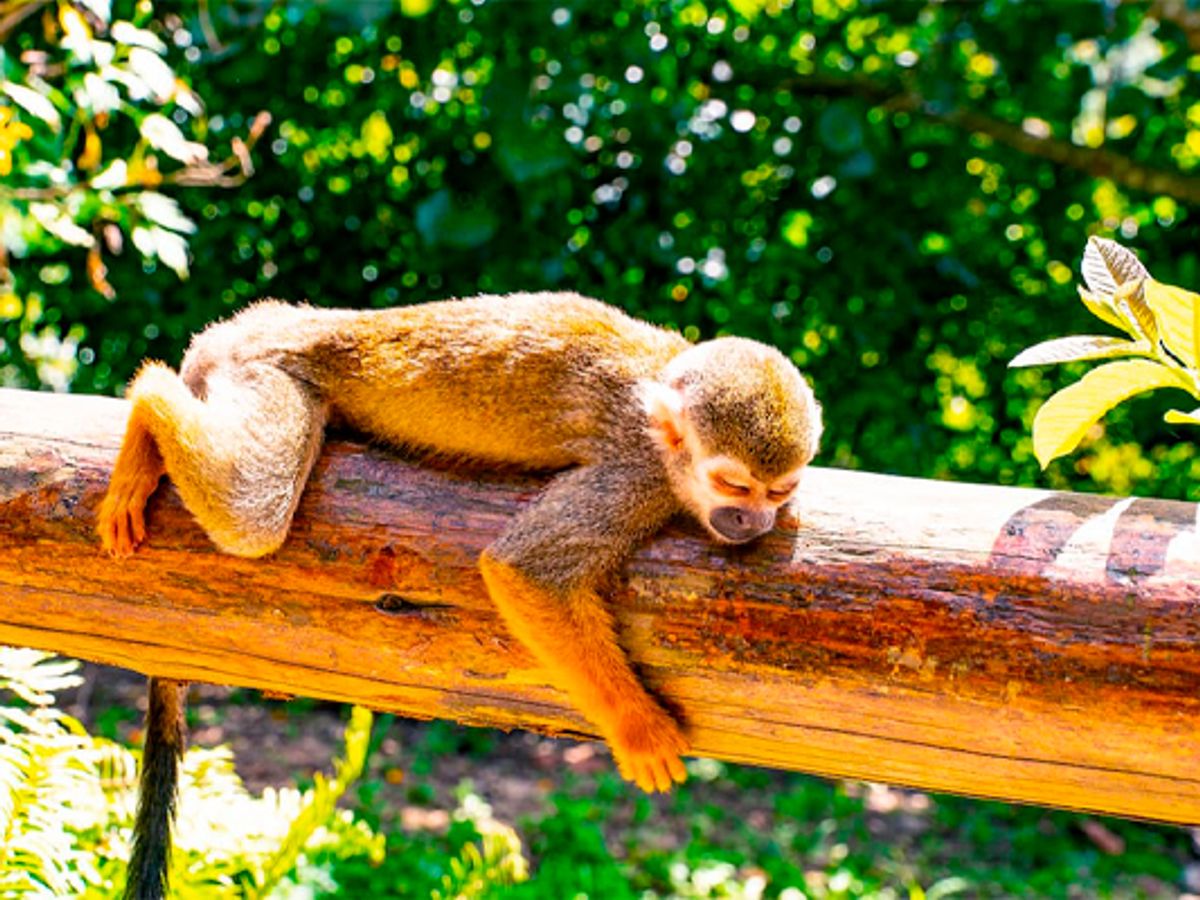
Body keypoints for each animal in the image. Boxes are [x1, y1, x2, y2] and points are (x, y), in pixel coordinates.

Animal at [97, 291, 822, 900]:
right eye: (733, 486)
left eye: (780, 490)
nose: (751, 522)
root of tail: (249, 324)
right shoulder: (637, 471)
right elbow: (525, 570)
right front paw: (637, 727)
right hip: (263, 370)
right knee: (251, 514)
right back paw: (149, 398)